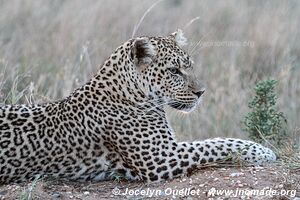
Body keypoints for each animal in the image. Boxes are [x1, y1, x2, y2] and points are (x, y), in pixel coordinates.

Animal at [0, 28, 276, 184]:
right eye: (174, 71)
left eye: (190, 66)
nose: (201, 92)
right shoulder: (161, 156)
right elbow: (214, 145)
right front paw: (262, 151)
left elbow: (213, 141)